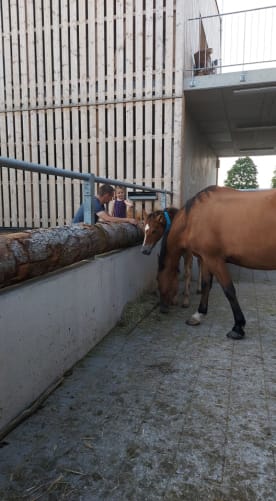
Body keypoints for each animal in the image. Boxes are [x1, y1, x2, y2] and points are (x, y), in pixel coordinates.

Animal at [157, 187, 276, 340]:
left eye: (158, 279)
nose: (162, 308)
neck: (193, 217)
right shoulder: (205, 259)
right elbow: (206, 285)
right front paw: (198, 315)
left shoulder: (215, 260)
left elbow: (229, 290)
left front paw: (238, 327)